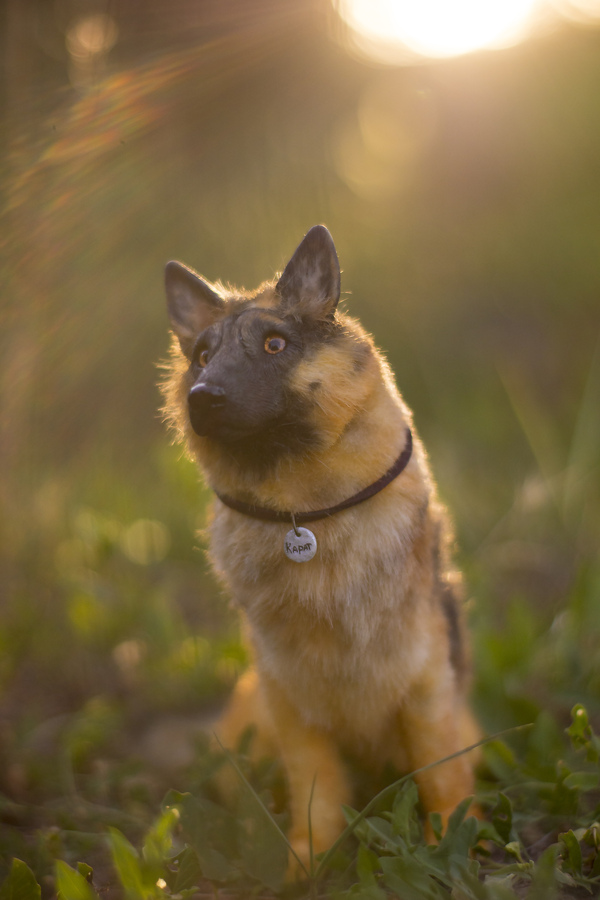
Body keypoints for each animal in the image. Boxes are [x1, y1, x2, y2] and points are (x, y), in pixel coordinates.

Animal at [162, 223, 480, 872]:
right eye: (202, 355)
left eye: (275, 344)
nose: (202, 397)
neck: (302, 515)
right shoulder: (293, 706)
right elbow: (317, 791)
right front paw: (308, 867)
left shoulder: (426, 688)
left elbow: (442, 779)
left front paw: (446, 845)